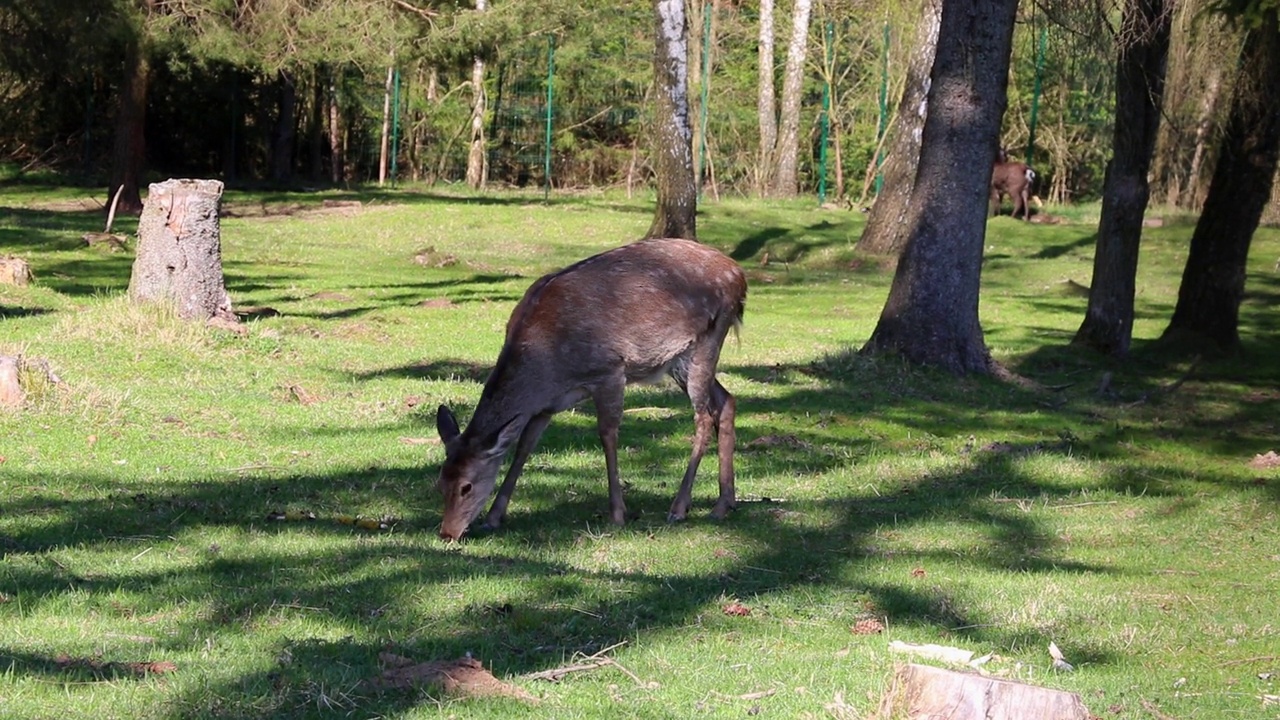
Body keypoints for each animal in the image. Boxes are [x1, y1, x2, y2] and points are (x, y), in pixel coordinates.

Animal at [435, 237, 747, 538]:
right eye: (440, 481)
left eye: (467, 486)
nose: (447, 533)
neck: (548, 367)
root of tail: (739, 275)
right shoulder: (547, 404)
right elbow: (525, 446)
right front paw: (494, 517)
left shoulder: (609, 370)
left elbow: (607, 435)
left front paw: (618, 514)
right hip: (678, 361)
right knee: (726, 400)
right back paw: (724, 503)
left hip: (707, 340)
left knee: (703, 416)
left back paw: (680, 507)